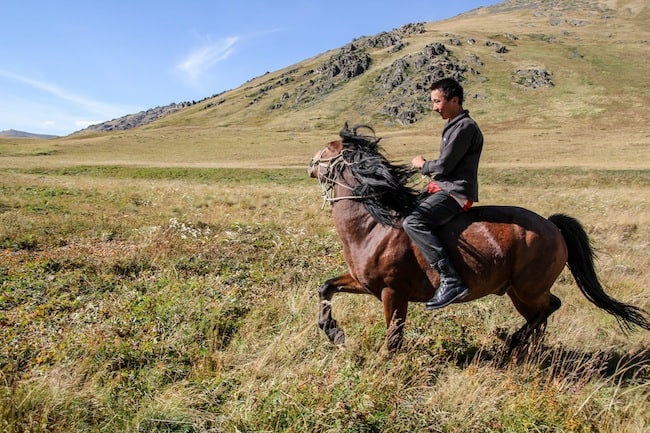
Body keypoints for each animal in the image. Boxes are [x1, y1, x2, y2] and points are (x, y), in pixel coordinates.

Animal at [306, 123, 648, 352]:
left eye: (327, 150)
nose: (310, 164)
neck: (374, 226)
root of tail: (552, 226)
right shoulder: (364, 283)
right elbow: (326, 287)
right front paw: (334, 332)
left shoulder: (393, 293)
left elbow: (393, 340)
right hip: (518, 293)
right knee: (542, 317)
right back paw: (523, 351)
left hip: (528, 289)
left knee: (551, 306)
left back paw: (512, 342)